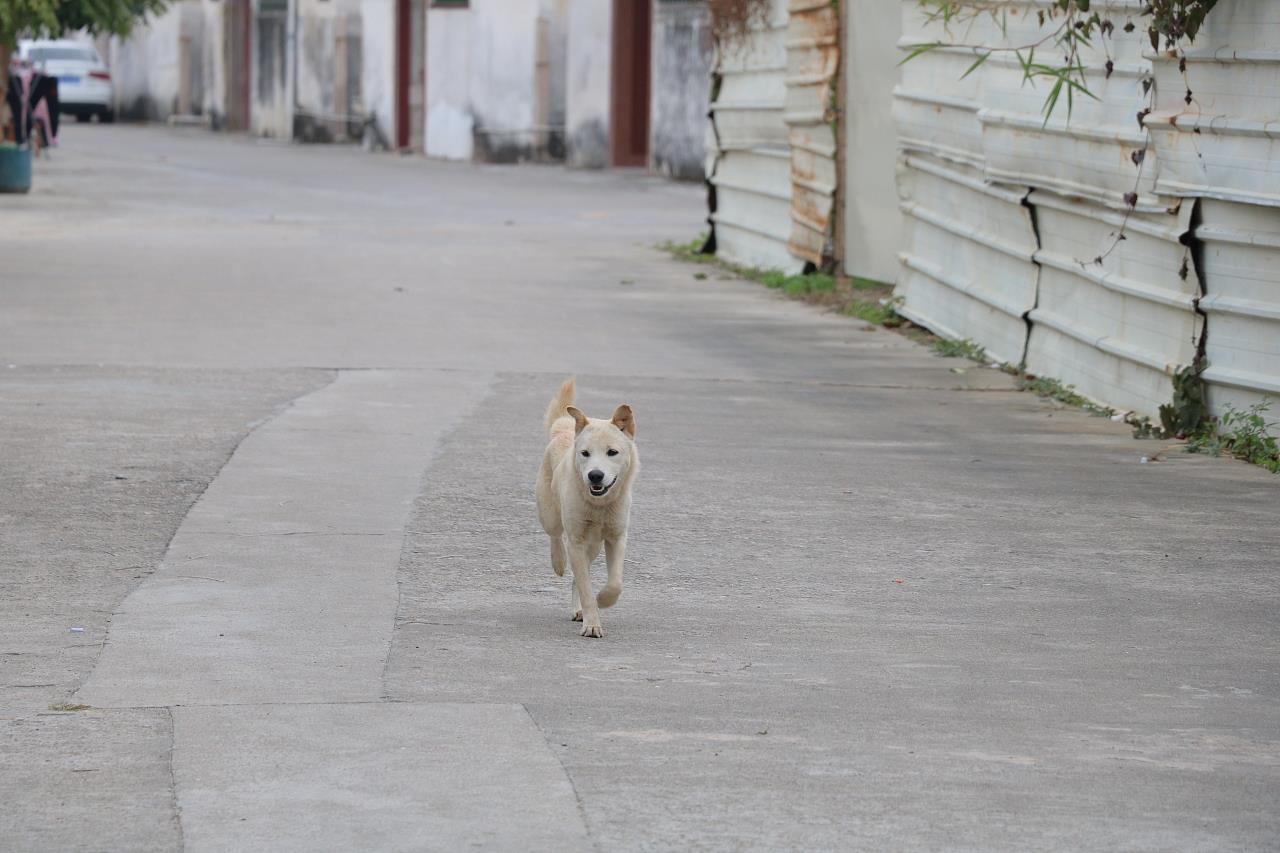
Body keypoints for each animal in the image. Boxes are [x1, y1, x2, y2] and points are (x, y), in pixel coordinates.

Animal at [532, 379, 637, 637]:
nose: (595, 475)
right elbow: (587, 588)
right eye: (585, 453)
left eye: (612, 452)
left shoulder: (616, 538)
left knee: (578, 577)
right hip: (549, 515)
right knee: (556, 537)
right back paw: (558, 561)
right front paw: (592, 624)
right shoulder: (576, 541)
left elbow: (615, 583)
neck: (599, 505)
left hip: (595, 546)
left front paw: (603, 600)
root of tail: (565, 429)